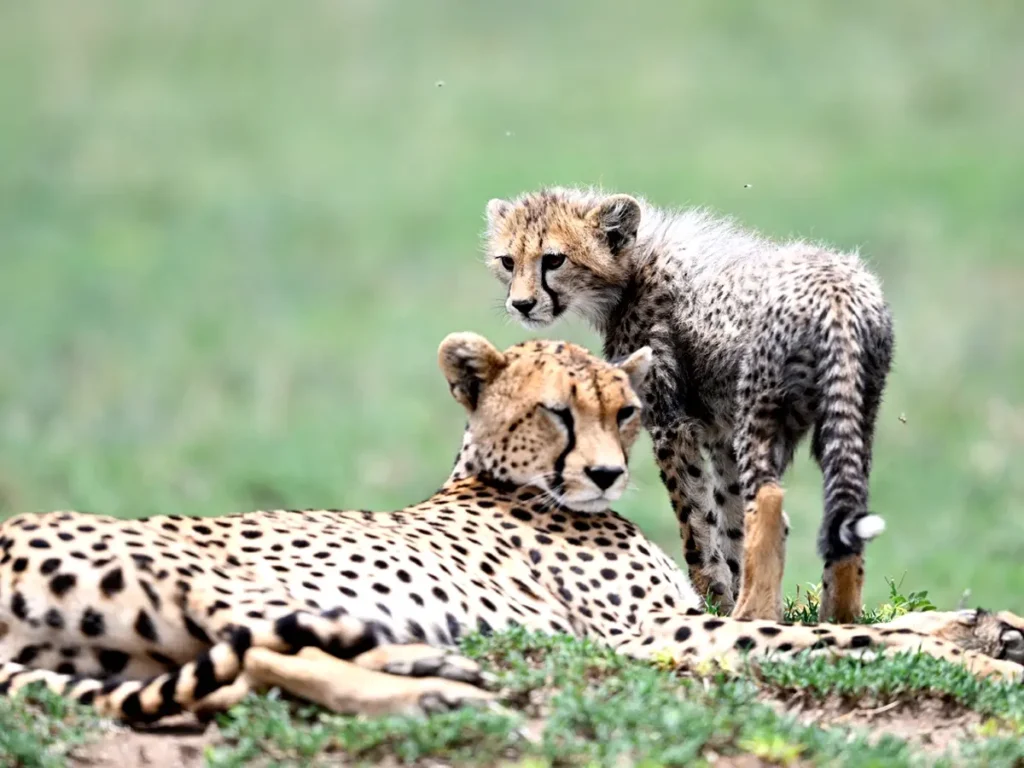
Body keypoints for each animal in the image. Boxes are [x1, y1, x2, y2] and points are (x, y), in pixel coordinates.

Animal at [0, 332, 1019, 727]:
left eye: (626, 411)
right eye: (558, 413)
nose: (606, 474)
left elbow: (847, 622)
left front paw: (987, 628)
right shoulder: (660, 632)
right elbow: (839, 637)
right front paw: (977, 665)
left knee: (242, 671)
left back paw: (426, 667)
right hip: (209, 579)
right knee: (261, 656)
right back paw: (427, 690)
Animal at [484, 187, 895, 623]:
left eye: (554, 259)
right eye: (508, 261)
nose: (521, 304)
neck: (632, 269)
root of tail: (837, 289)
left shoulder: (672, 425)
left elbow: (695, 521)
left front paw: (713, 599)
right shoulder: (721, 435)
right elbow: (730, 520)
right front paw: (727, 594)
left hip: (761, 413)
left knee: (770, 502)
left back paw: (751, 614)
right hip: (856, 411)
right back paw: (837, 618)